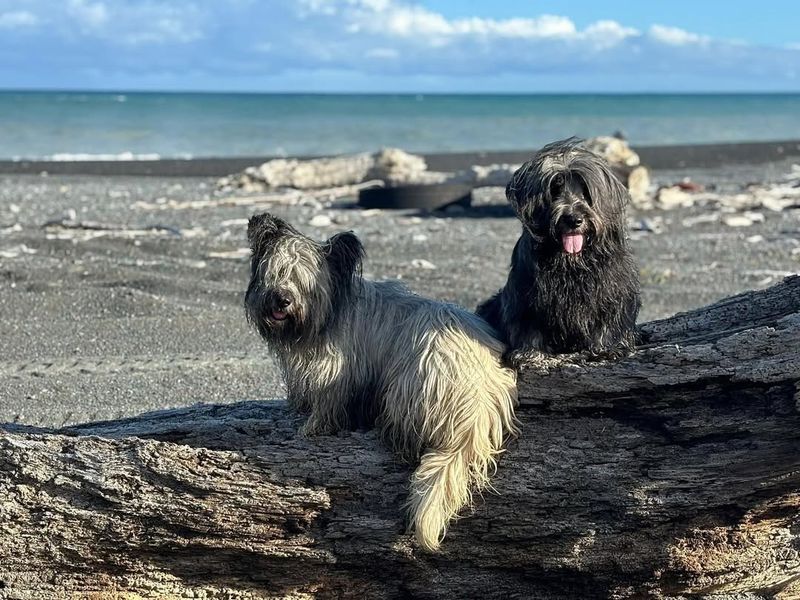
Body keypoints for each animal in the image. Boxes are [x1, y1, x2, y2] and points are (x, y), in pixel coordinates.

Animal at [244, 213, 520, 552]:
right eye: (276, 271)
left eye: (304, 281)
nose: (282, 299)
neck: (332, 309)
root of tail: (473, 407)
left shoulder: (336, 372)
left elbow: (327, 405)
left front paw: (310, 428)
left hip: (409, 380)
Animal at [478, 139, 640, 366]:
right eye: (555, 189)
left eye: (585, 191)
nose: (574, 220)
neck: (570, 262)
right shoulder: (526, 296)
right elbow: (529, 326)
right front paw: (530, 353)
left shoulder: (613, 291)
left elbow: (607, 320)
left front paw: (606, 348)